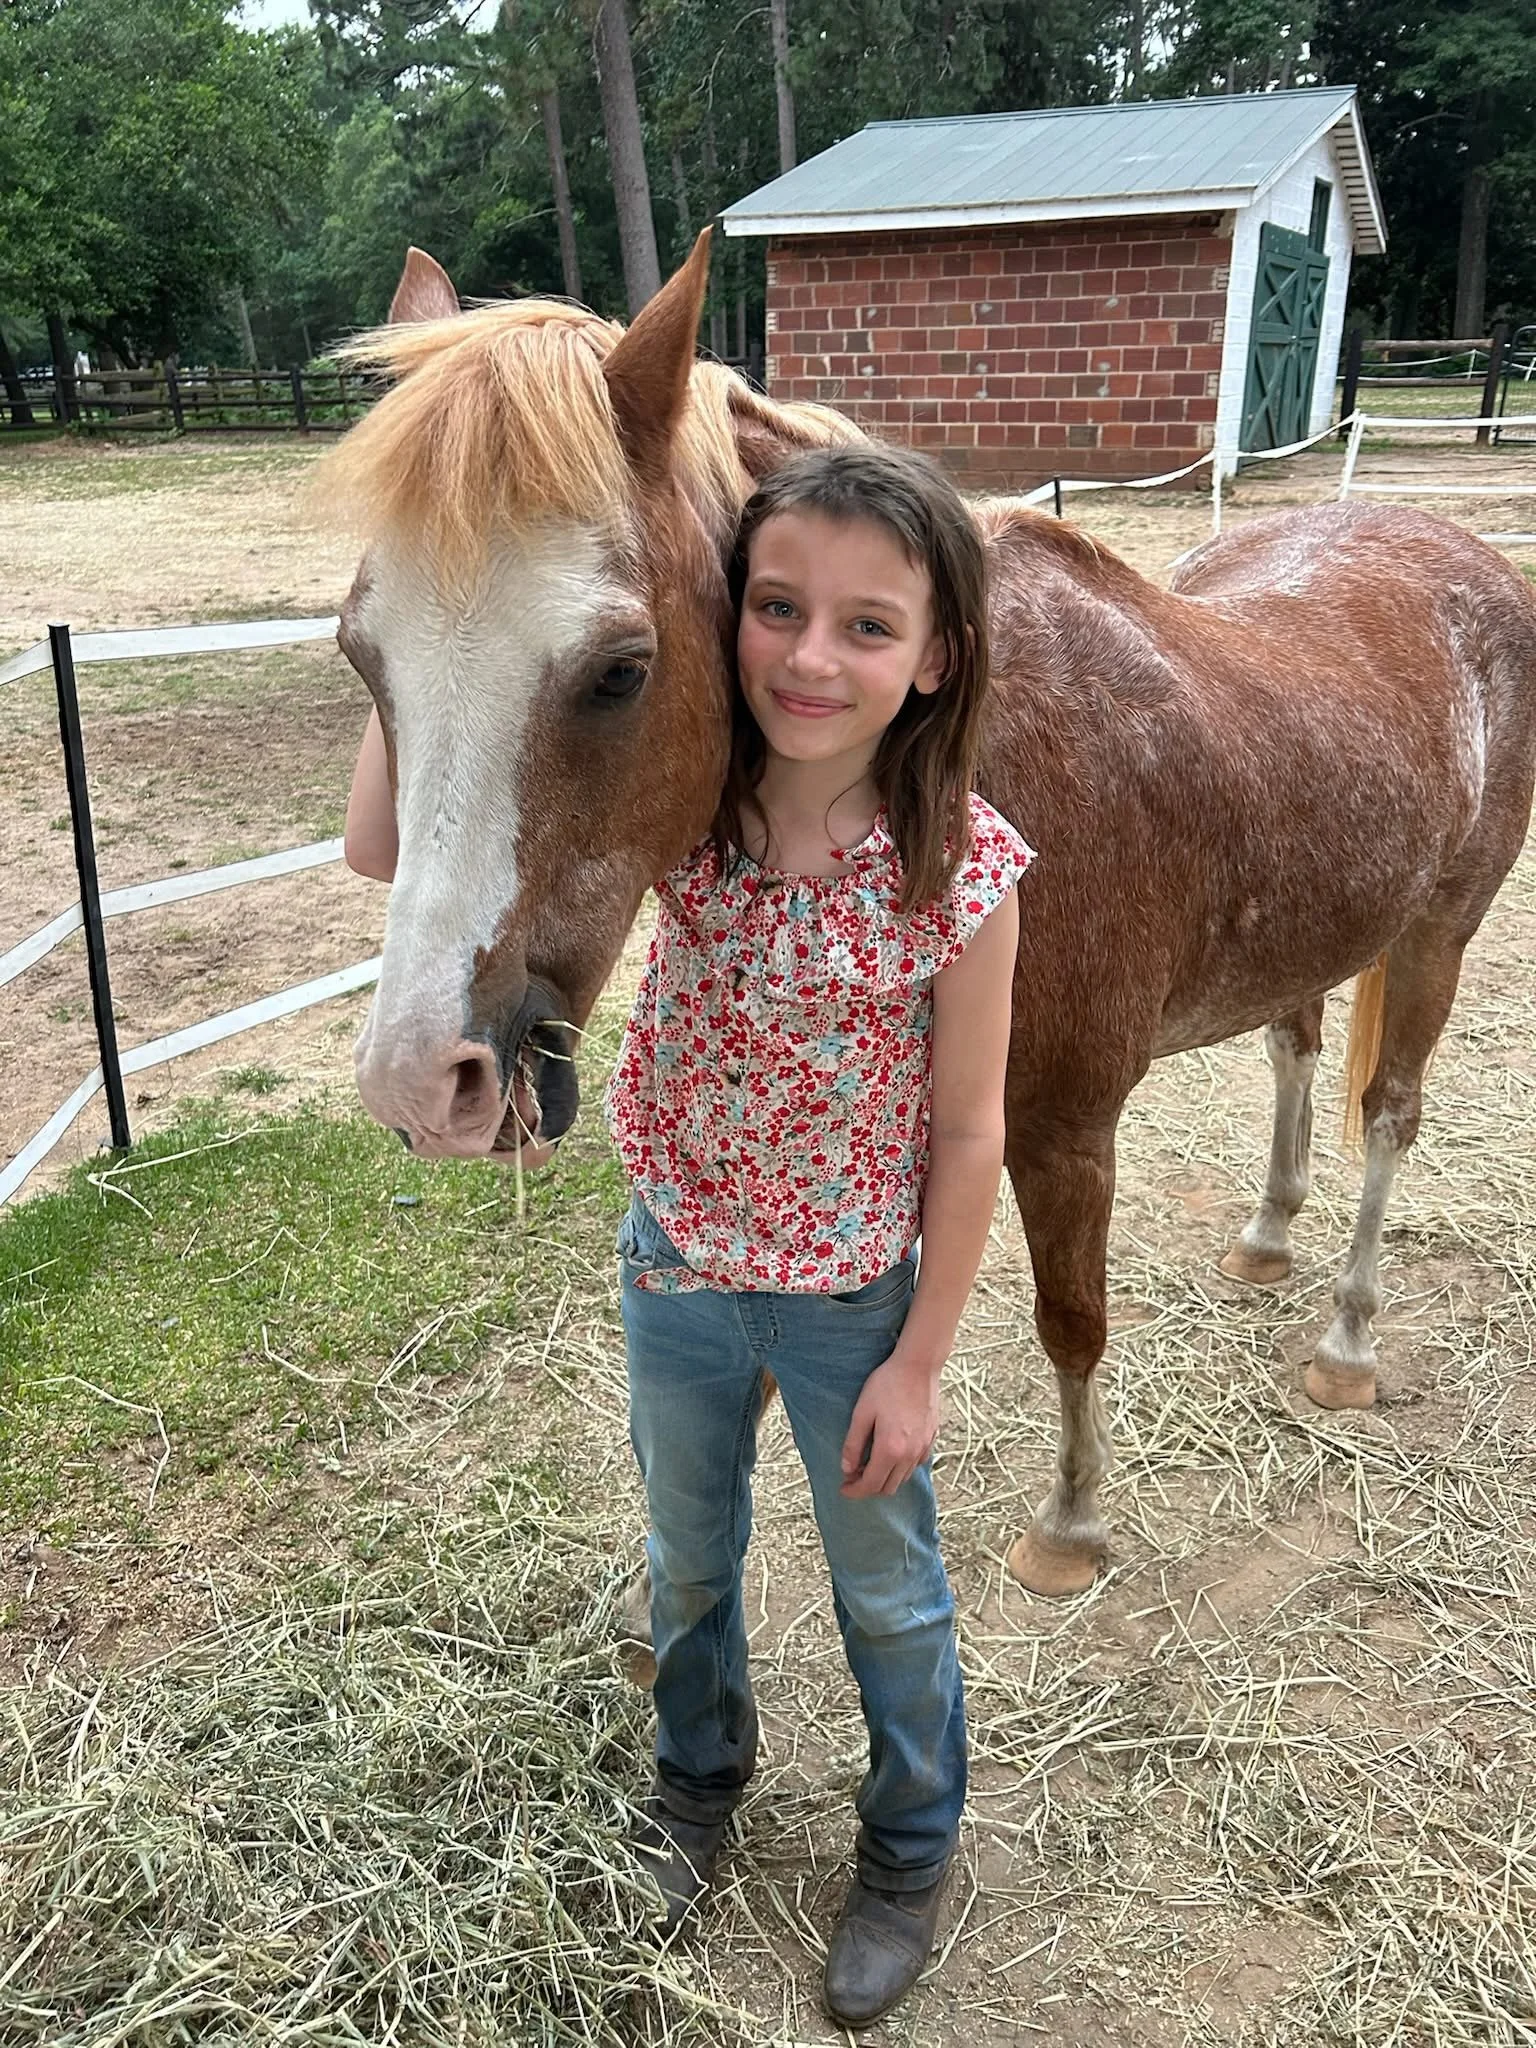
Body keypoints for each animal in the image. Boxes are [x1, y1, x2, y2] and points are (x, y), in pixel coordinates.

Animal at [329, 231, 1536, 1598]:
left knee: (1389, 1115)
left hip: (1437, 934)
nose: (424, 1081)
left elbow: (1072, 1320)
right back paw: (1270, 1236)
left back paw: (1346, 1339)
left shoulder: (1063, 1125)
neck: (953, 752)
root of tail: (1463, 557)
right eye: (362, 653)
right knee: (1297, 1042)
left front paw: (1072, 1522)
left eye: (620, 671)